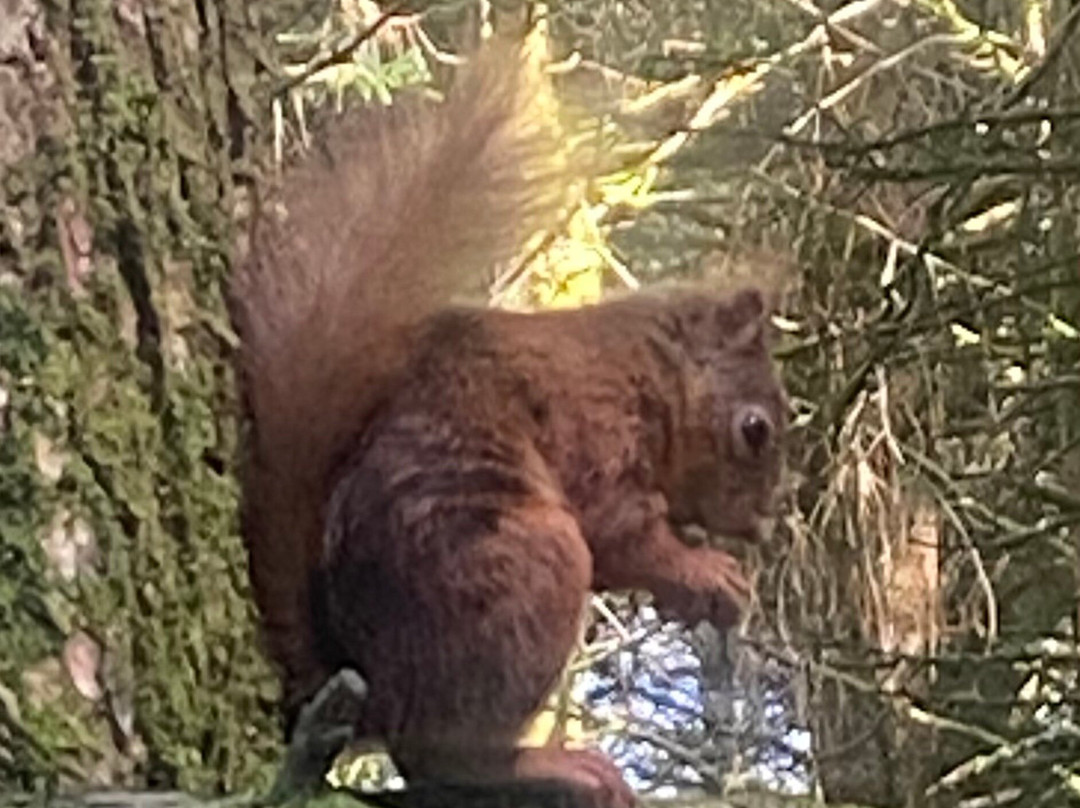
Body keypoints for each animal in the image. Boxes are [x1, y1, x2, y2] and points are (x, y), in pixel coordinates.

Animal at [232, 43, 786, 808]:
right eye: (755, 429)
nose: (761, 526)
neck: (644, 367)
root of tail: (376, 688)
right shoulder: (591, 424)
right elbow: (620, 531)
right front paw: (710, 574)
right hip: (521, 571)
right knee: (440, 754)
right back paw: (559, 770)